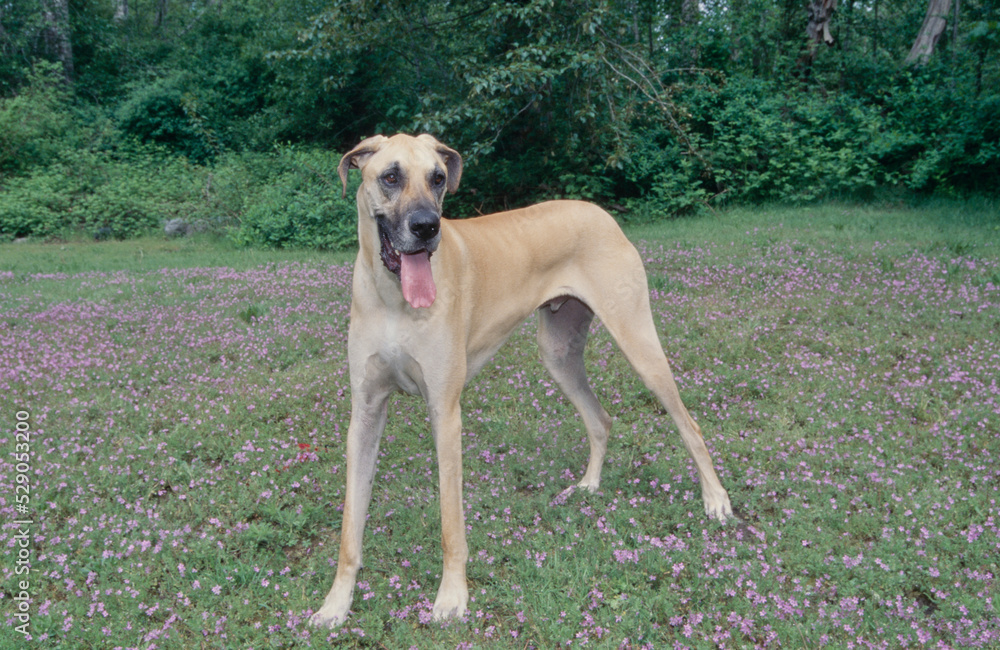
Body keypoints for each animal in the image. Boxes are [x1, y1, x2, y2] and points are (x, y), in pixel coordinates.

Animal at [308, 134, 732, 624]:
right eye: (390, 176)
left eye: (438, 177)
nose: (427, 228)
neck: (394, 298)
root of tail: (599, 212)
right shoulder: (365, 415)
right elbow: (350, 529)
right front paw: (336, 604)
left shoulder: (445, 414)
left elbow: (451, 524)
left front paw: (451, 596)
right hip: (559, 356)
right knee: (600, 419)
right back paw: (589, 486)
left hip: (638, 343)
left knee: (689, 424)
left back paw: (715, 499)